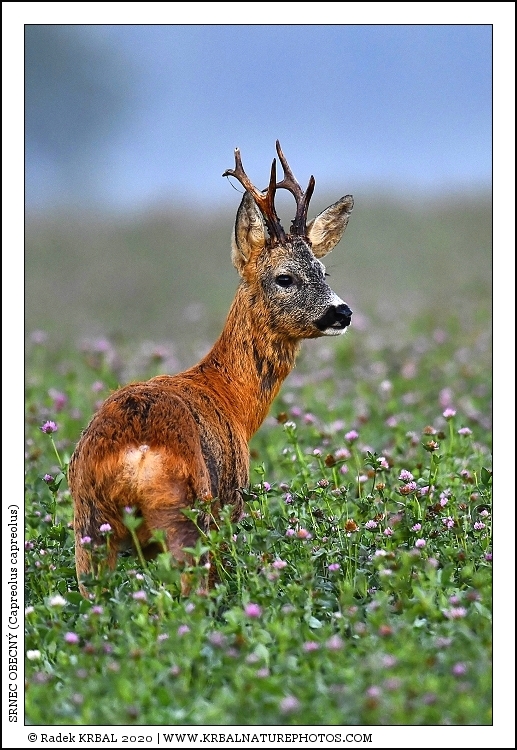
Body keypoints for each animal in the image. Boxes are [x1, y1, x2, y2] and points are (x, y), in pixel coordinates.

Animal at [68, 140, 354, 597]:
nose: (341, 312)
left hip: (88, 523)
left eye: (323, 270)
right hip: (188, 512)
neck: (229, 396)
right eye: (285, 277)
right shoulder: (231, 501)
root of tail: (132, 454)